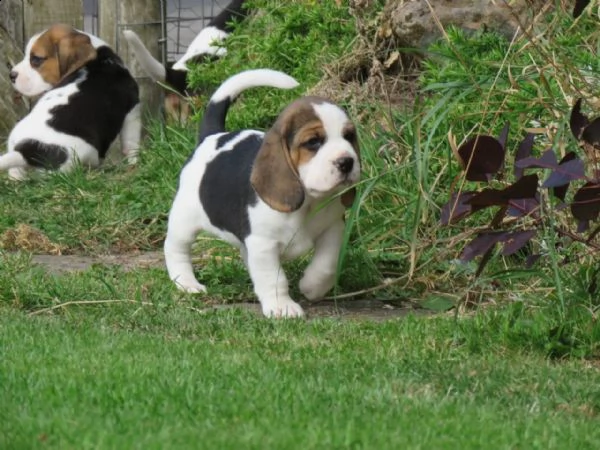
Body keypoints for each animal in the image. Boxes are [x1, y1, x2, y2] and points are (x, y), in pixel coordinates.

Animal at [2, 24, 141, 179]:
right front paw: (134, 162)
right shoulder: (132, 111)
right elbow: (131, 143)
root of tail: (27, 151)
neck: (100, 58)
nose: (11, 75)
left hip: (13, 144)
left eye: (36, 59)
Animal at [164, 68, 360, 318]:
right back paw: (187, 283)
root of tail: (212, 137)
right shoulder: (263, 244)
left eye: (349, 136)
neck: (308, 203)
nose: (347, 162)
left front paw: (312, 287)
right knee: (175, 249)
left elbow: (327, 264)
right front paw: (282, 307)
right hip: (184, 221)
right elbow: (274, 279)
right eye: (313, 142)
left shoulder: (333, 229)